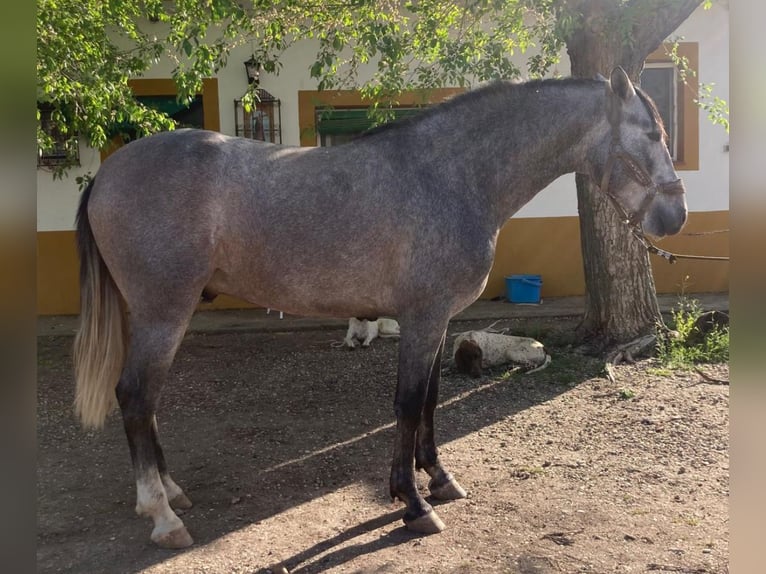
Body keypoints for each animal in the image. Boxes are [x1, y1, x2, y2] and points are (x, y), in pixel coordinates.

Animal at [73, 67, 687, 548]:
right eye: (651, 132)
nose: (675, 216)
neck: (450, 176)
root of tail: (107, 172)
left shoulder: (434, 320)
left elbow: (431, 402)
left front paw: (438, 479)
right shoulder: (424, 319)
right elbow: (409, 405)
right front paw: (413, 503)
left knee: (147, 402)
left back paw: (171, 492)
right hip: (163, 313)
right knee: (135, 396)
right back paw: (162, 514)